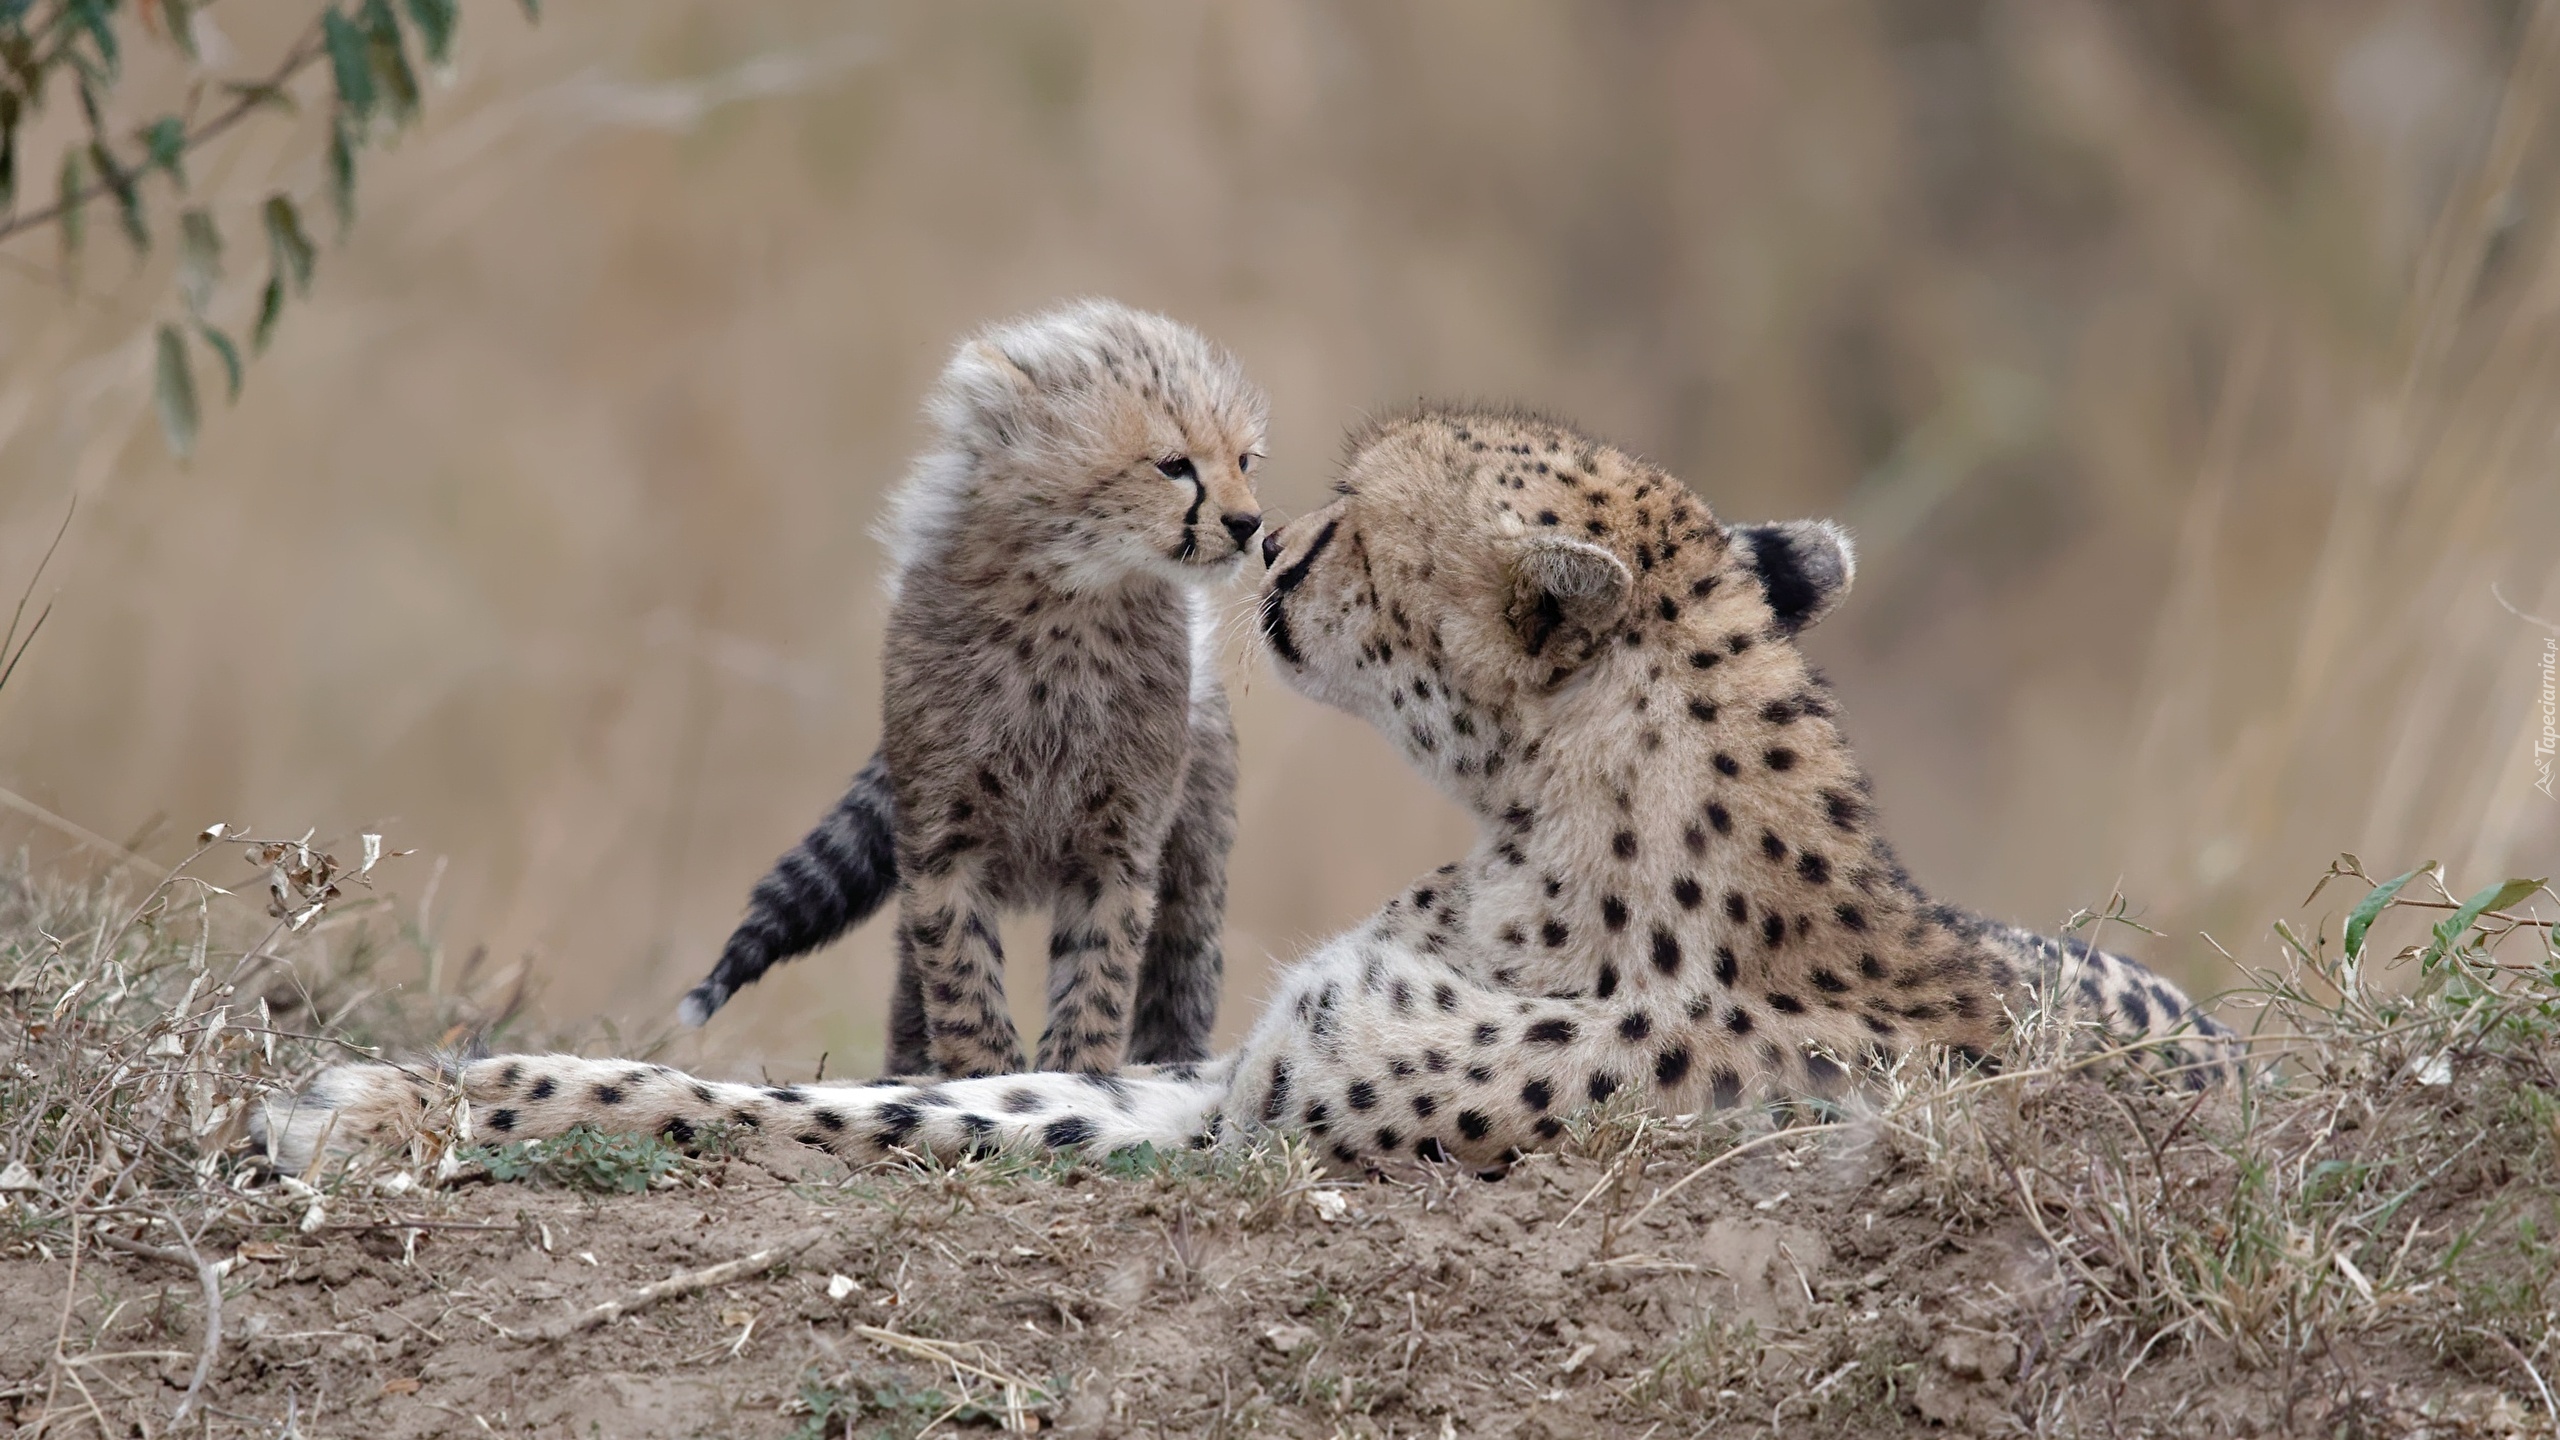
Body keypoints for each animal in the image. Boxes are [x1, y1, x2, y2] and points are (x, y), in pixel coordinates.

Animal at [249, 399, 2232, 1168]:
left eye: (1353, 520)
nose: (1271, 543)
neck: (1552, 837)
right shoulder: (1231, 1076)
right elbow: (936, 1094)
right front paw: (420, 1083)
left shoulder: (1269, 1121)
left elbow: (860, 1123)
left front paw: (402, 1107)